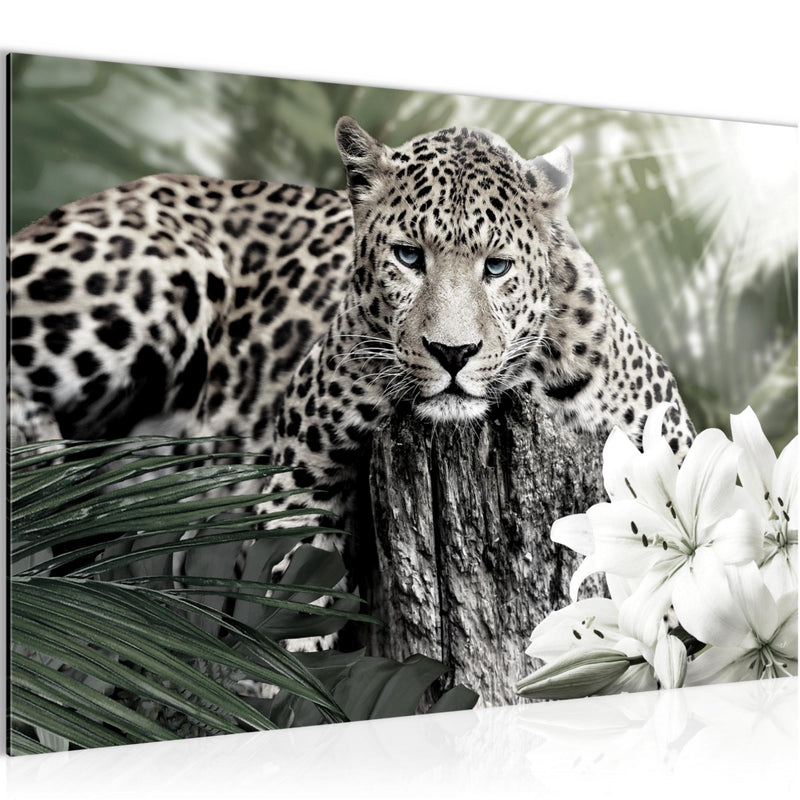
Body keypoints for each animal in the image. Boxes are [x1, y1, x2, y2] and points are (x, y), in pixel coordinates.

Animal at [8, 116, 695, 611]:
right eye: (409, 256)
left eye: (496, 267)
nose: (453, 353)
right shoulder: (302, 455)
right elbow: (287, 583)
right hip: (160, 271)